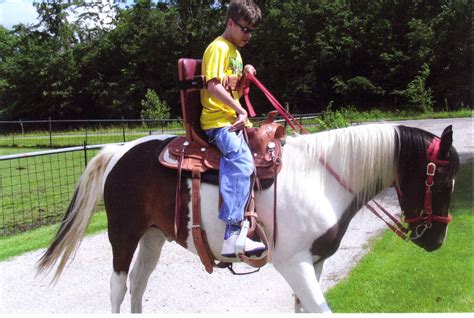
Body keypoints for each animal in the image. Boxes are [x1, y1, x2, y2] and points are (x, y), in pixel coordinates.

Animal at [37, 123, 460, 314]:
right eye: (441, 181)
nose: (436, 241)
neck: (323, 177)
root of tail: (120, 150)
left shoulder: (315, 262)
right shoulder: (294, 263)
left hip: (154, 236)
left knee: (139, 286)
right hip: (123, 235)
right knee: (119, 288)